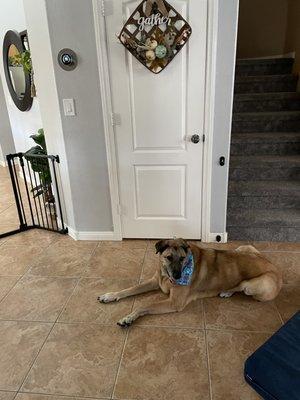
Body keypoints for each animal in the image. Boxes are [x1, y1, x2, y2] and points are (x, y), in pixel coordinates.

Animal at [97, 239, 282, 326]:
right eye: (168, 257)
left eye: (182, 259)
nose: (178, 277)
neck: (166, 276)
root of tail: (274, 266)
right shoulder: (154, 282)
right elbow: (129, 289)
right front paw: (110, 296)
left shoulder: (174, 302)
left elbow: (144, 305)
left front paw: (128, 318)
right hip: (244, 247)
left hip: (253, 285)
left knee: (240, 286)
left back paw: (226, 290)